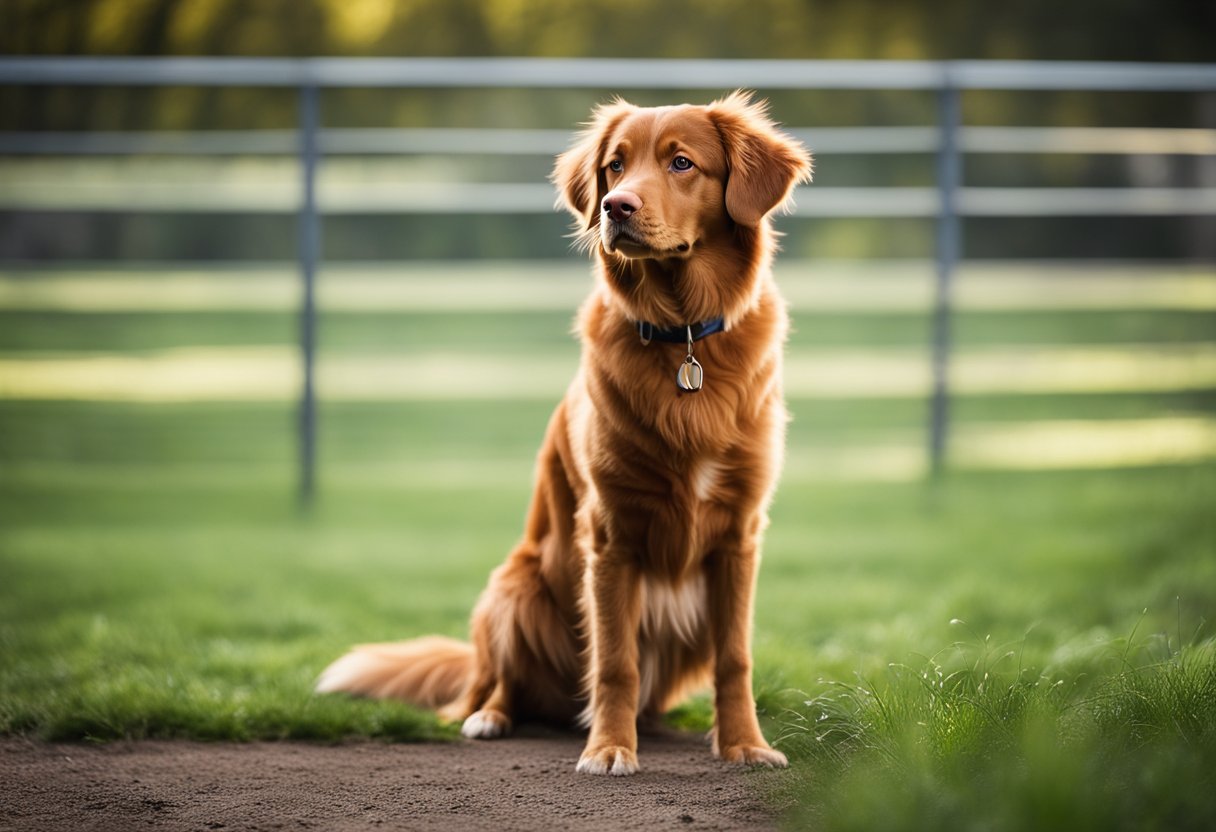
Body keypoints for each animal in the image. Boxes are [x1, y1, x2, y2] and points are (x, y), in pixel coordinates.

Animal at [318, 94, 812, 778]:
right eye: (615, 166)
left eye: (682, 162)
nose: (615, 207)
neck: (683, 336)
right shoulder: (609, 535)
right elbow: (615, 660)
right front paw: (608, 748)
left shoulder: (740, 536)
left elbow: (735, 658)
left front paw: (744, 744)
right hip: (513, 588)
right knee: (501, 684)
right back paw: (491, 718)